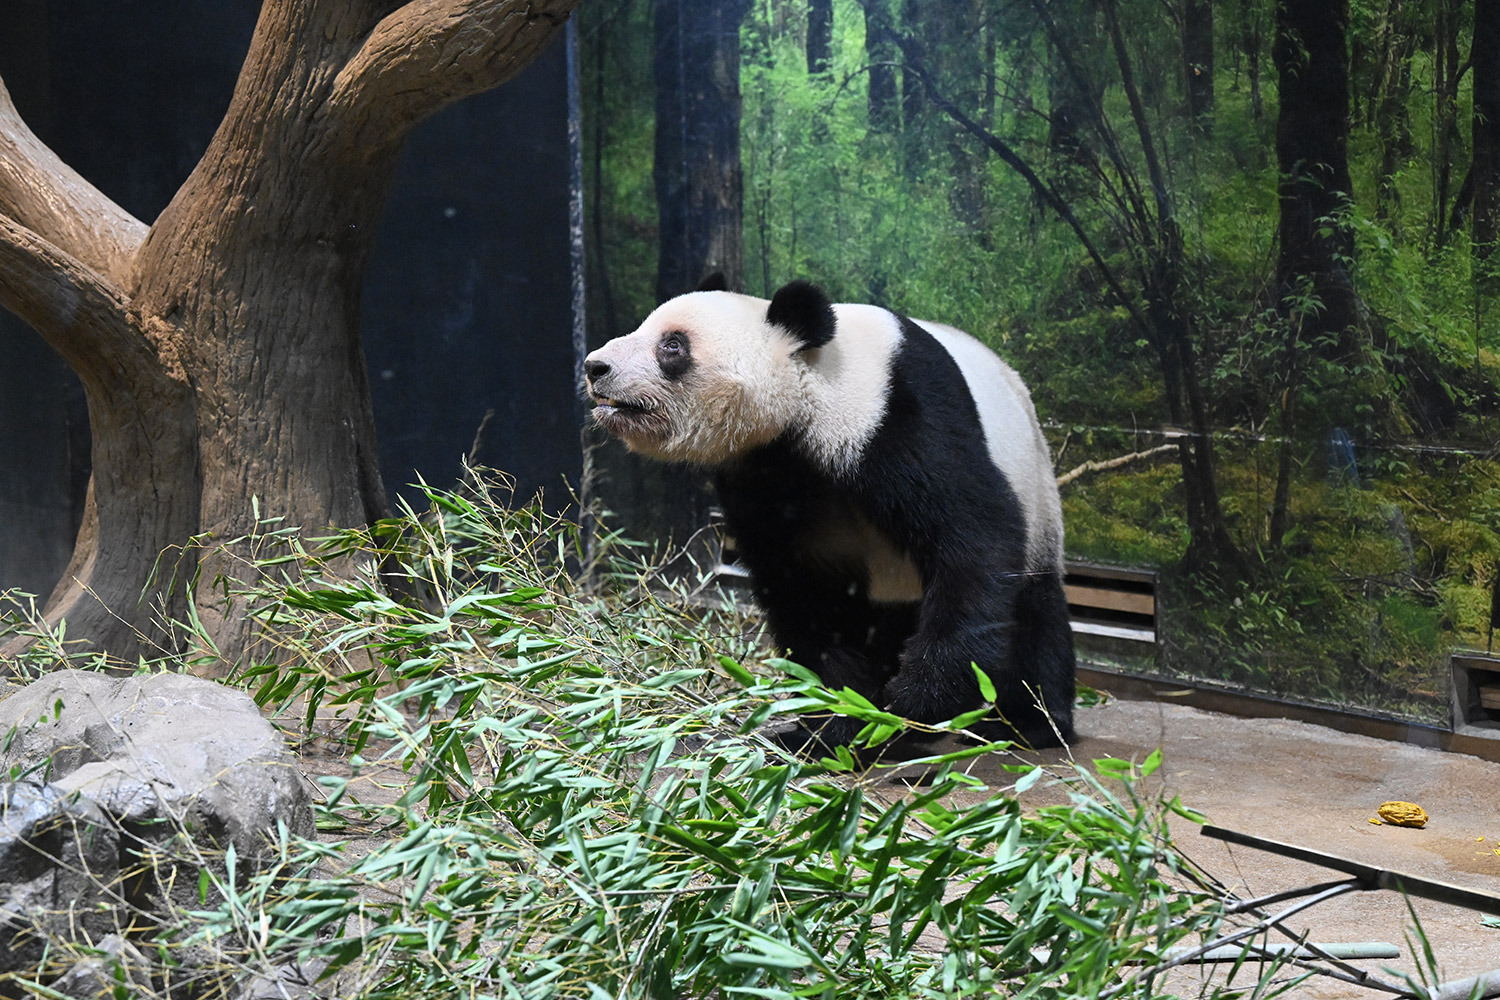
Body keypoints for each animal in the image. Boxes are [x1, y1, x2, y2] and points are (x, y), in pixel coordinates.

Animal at [583, 276, 1076, 751]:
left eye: (672, 345)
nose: (594, 366)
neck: (809, 386)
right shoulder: (763, 479)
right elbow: (802, 591)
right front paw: (838, 722)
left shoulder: (896, 415)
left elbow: (973, 536)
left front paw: (917, 699)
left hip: (1036, 487)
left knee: (1034, 613)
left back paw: (1030, 723)